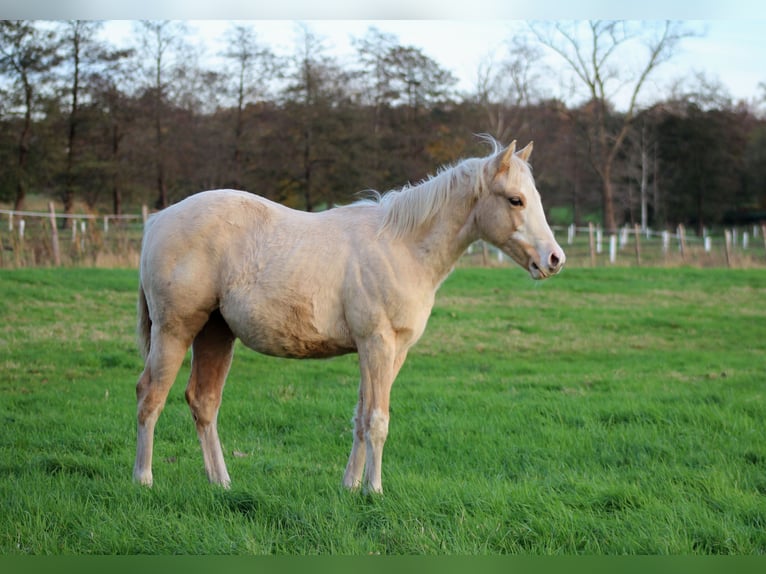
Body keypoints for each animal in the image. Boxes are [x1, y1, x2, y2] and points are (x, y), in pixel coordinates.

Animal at [132, 139, 565, 494]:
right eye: (515, 200)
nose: (554, 259)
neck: (402, 247)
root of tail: (157, 220)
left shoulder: (390, 352)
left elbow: (361, 417)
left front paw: (350, 486)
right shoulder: (377, 344)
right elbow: (377, 419)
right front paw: (374, 490)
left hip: (216, 333)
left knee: (203, 402)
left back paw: (221, 483)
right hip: (175, 331)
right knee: (150, 396)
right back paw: (144, 479)